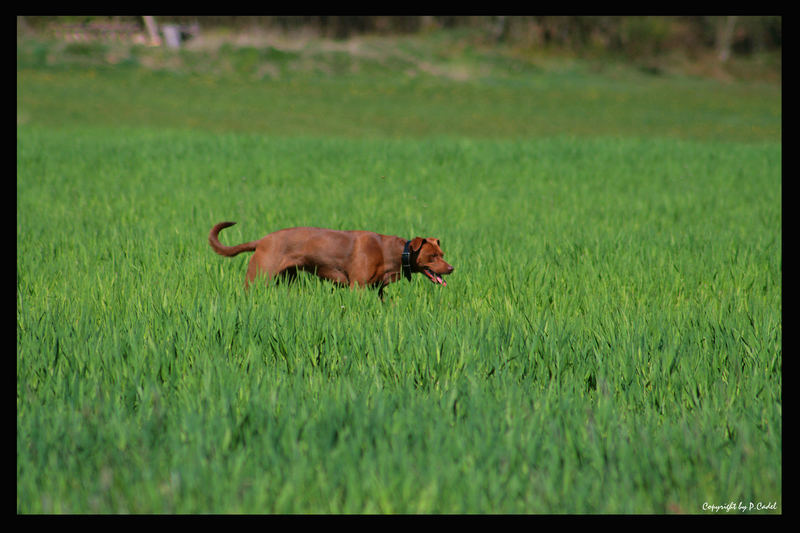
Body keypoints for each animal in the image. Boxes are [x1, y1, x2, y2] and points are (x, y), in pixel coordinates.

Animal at [209, 218, 454, 298]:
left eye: (441, 254)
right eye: (432, 256)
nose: (451, 268)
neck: (393, 252)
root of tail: (261, 240)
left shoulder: (378, 290)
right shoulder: (357, 288)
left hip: (288, 279)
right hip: (258, 278)